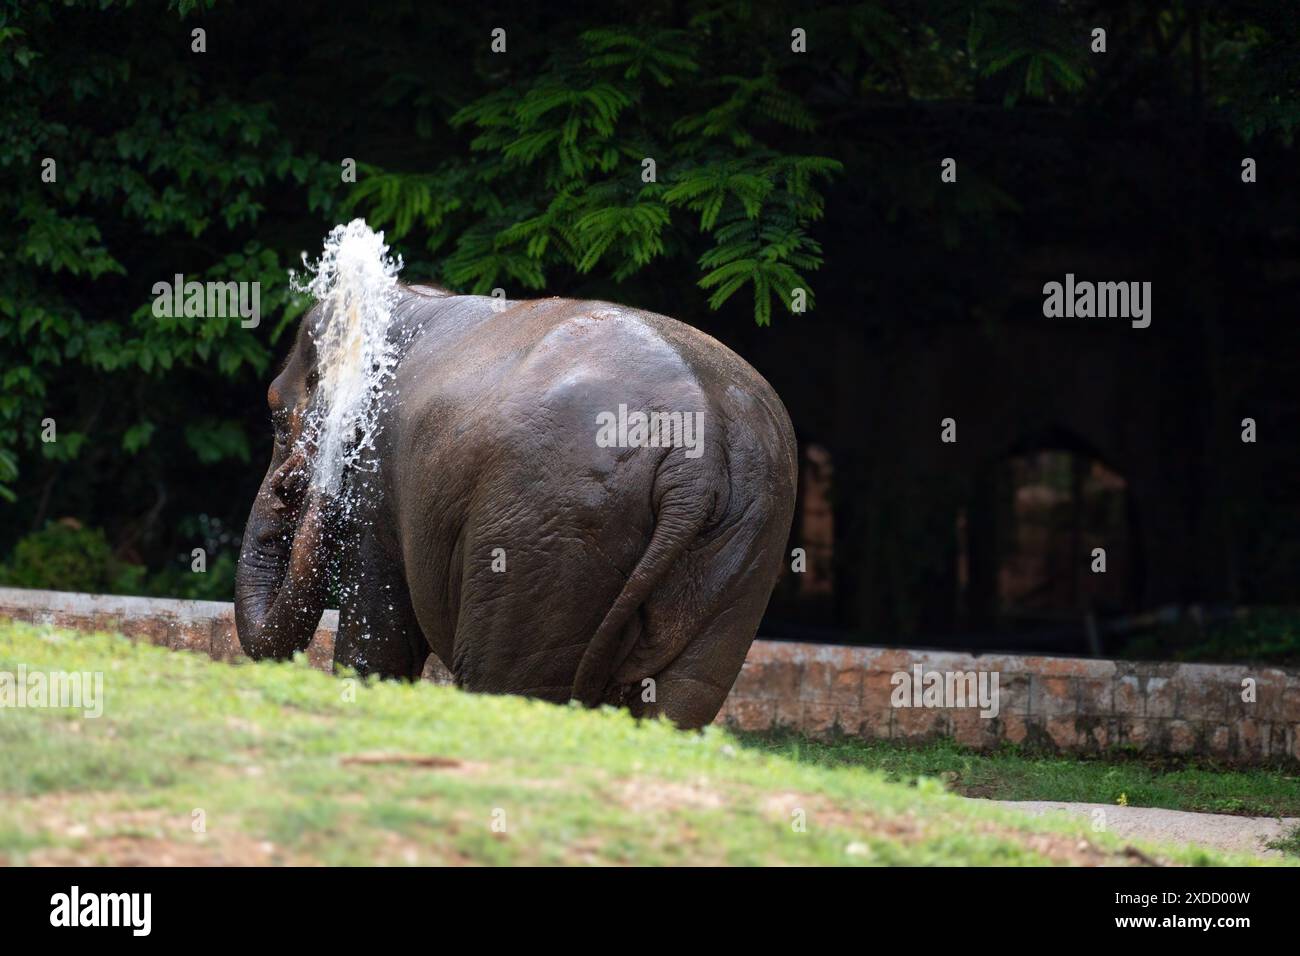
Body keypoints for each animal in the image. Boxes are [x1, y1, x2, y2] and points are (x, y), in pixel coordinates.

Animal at [234, 283, 797, 729]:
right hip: (747, 545)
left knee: (509, 682)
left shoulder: (376, 487)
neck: (410, 297)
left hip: (548, 532)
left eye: (274, 416)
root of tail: (694, 462)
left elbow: (380, 638)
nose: (288, 484)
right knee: (685, 695)